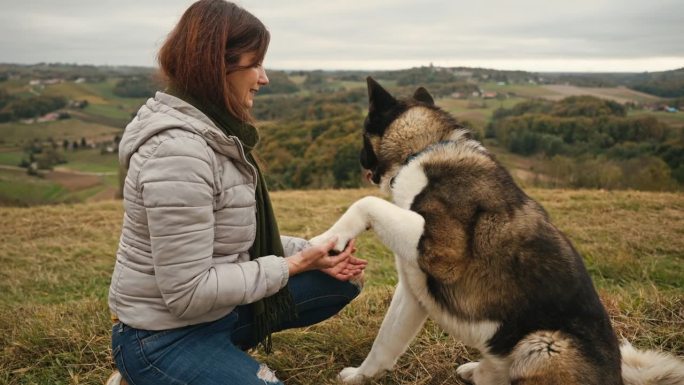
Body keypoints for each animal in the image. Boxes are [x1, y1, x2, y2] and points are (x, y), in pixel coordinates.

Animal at [310, 78, 684, 384]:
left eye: (363, 136)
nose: (360, 160)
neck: (423, 149)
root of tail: (618, 378)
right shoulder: (412, 293)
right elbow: (384, 343)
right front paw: (360, 376)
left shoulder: (443, 251)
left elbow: (366, 203)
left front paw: (326, 238)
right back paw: (476, 370)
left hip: (542, 345)